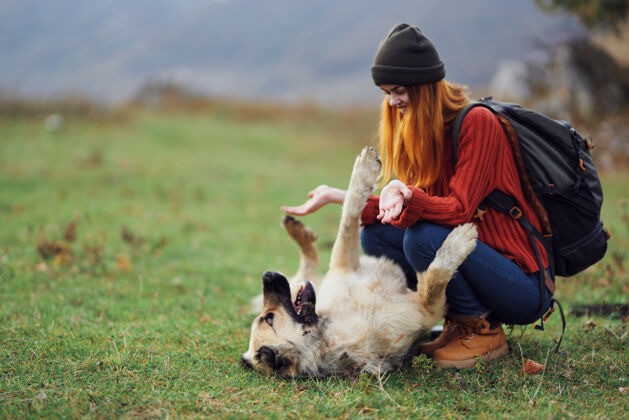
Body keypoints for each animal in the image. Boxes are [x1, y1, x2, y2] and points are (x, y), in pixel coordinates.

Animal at [240, 147, 476, 378]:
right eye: (269, 319)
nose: (267, 274)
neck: (325, 330)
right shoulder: (427, 308)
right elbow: (436, 275)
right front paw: (459, 241)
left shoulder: (344, 265)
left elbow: (349, 214)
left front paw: (363, 172)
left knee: (307, 267)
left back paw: (297, 231)